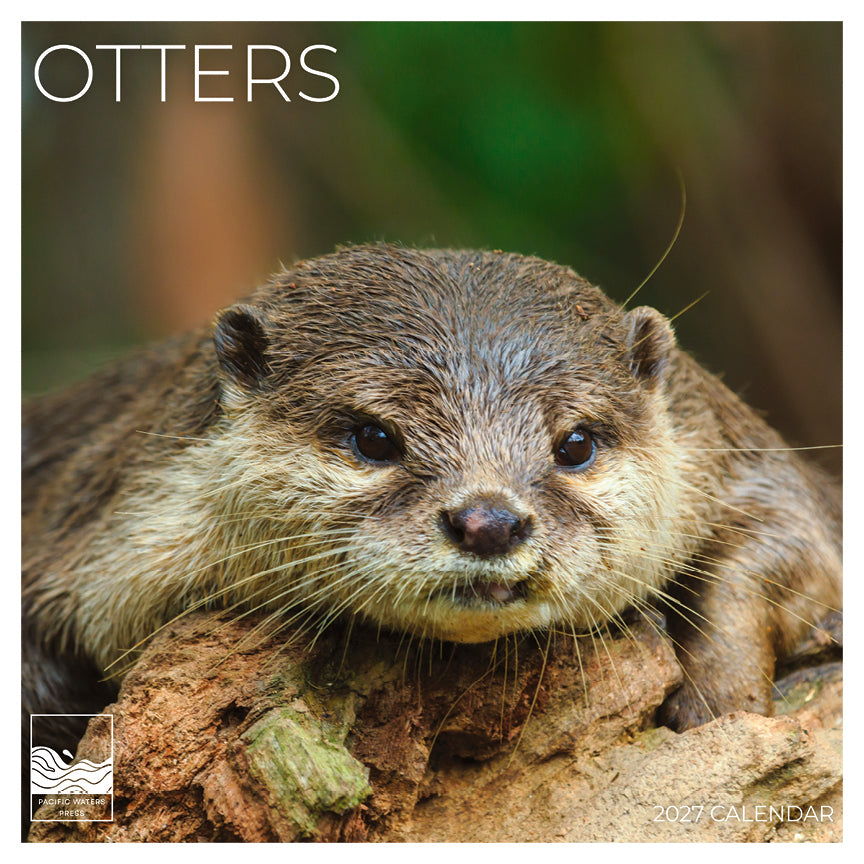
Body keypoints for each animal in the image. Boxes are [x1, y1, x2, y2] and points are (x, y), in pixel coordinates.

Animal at [21, 244, 842, 741]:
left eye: (575, 444)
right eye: (374, 438)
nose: (489, 521)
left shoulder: (734, 449)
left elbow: (784, 546)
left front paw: (722, 707)